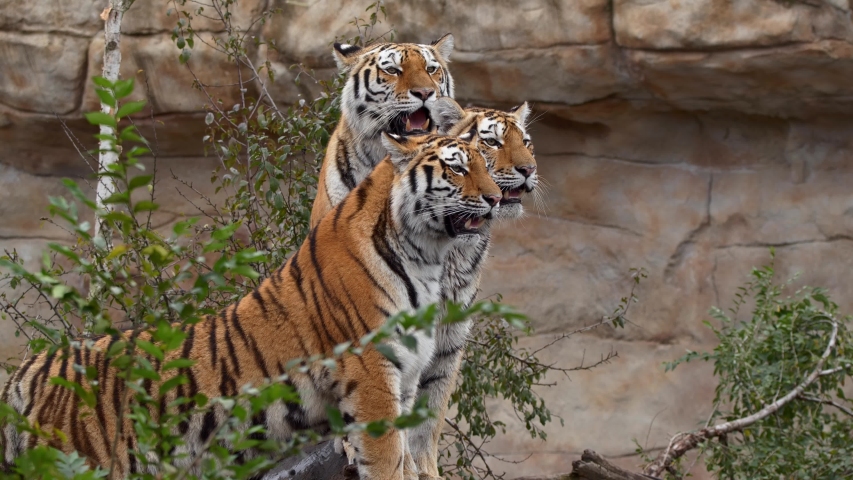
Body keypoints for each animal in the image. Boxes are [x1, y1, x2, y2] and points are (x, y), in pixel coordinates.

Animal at [0, 133, 502, 480]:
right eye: (457, 169)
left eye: (485, 163)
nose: (497, 198)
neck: (426, 256)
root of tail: (28, 369)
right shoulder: (373, 375)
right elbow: (387, 460)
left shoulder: (406, 378)